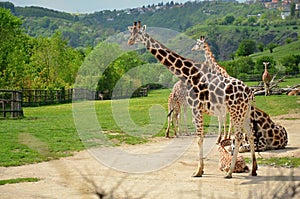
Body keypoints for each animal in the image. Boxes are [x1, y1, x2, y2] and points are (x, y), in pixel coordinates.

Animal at [127, 21, 258, 178]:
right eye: (131, 33)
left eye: (138, 34)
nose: (129, 41)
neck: (188, 75)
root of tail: (249, 92)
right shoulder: (196, 108)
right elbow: (198, 134)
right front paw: (200, 169)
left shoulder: (196, 107)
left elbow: (199, 138)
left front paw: (198, 171)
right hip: (245, 111)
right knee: (250, 134)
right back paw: (254, 169)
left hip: (235, 110)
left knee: (238, 135)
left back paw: (229, 172)